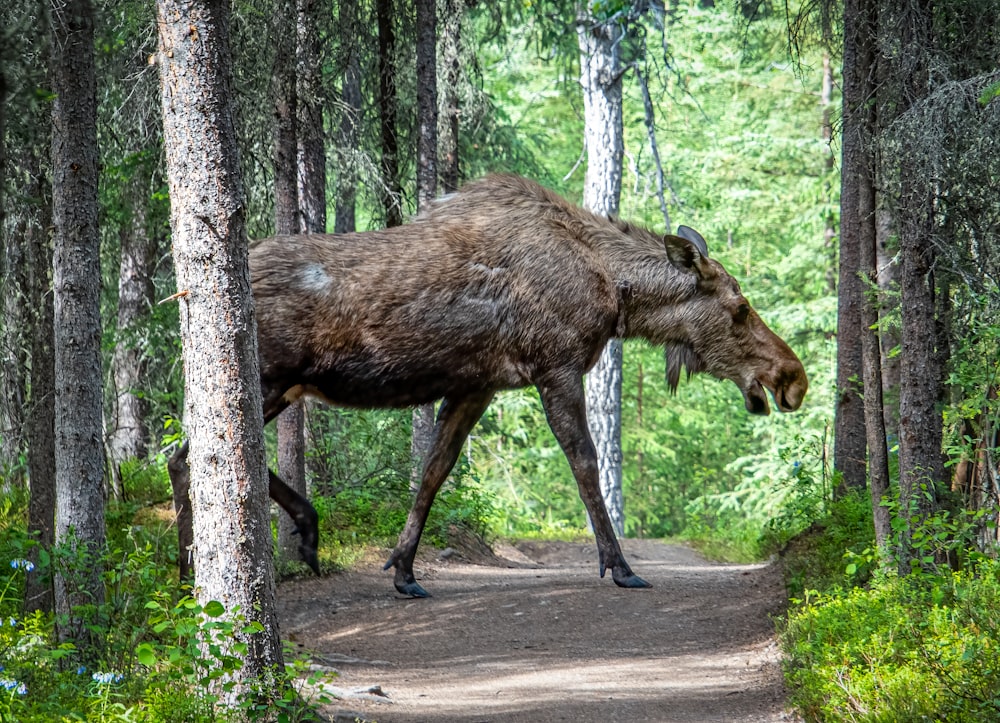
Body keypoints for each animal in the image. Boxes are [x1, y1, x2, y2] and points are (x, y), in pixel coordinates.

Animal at [166, 173, 804, 596]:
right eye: (740, 308)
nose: (792, 378)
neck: (615, 293)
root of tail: (183, 292)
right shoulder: (556, 367)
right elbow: (585, 467)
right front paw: (619, 566)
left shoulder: (479, 386)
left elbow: (432, 473)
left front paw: (404, 570)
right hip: (270, 379)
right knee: (194, 459)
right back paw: (200, 572)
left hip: (281, 387)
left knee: (185, 457)